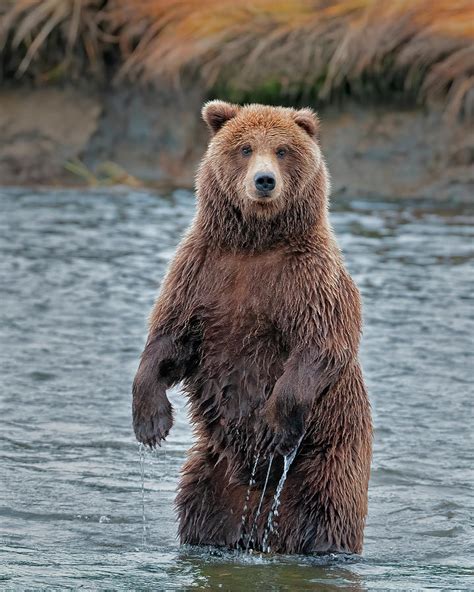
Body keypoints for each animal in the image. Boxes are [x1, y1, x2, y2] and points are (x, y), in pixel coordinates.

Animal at [131, 100, 372, 556]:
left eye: (282, 150)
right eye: (244, 148)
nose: (264, 181)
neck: (254, 243)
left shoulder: (309, 282)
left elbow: (319, 346)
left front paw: (274, 428)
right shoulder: (201, 273)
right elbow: (170, 340)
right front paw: (151, 422)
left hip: (327, 466)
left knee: (326, 517)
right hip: (212, 474)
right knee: (200, 511)